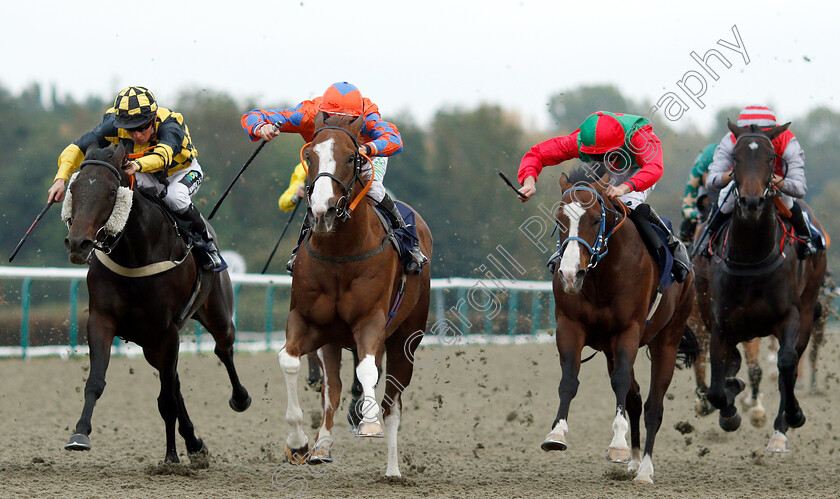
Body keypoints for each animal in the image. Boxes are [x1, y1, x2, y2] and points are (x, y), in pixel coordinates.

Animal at [61, 145, 249, 464]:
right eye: (73, 188)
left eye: (111, 192)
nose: (78, 244)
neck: (134, 254)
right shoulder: (101, 320)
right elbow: (96, 381)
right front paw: (80, 434)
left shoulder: (167, 330)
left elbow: (166, 399)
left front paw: (170, 457)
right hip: (150, 345)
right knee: (175, 381)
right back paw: (194, 442)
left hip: (217, 314)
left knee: (223, 349)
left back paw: (239, 399)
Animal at [278, 112, 434, 476]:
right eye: (310, 156)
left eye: (352, 157)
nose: (322, 210)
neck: (340, 253)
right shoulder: (308, 322)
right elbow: (290, 362)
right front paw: (299, 444)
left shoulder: (371, 321)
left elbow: (367, 371)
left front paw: (370, 423)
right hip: (333, 341)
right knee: (332, 390)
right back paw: (322, 445)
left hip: (407, 338)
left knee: (393, 401)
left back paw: (392, 469)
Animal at [540, 164, 700, 484]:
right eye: (560, 219)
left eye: (594, 218)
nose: (570, 275)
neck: (601, 276)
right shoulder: (570, 326)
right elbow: (570, 379)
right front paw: (557, 433)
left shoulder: (629, 330)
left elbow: (621, 383)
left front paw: (617, 446)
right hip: (611, 349)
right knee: (636, 398)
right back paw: (636, 462)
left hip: (668, 337)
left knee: (654, 405)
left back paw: (645, 469)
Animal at [704, 121, 828, 454]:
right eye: (734, 158)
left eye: (771, 158)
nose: (751, 202)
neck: (751, 257)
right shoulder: (721, 323)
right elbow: (718, 385)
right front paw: (730, 408)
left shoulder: (790, 316)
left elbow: (786, 364)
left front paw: (793, 416)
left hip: (808, 312)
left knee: (791, 367)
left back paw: (780, 429)